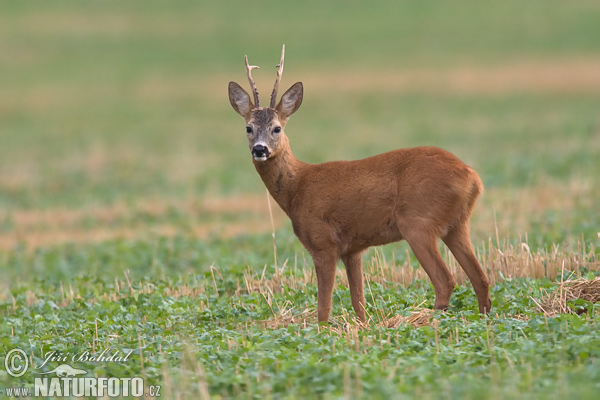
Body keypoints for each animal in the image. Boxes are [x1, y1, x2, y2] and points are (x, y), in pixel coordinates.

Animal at [227, 46, 490, 322]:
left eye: (277, 128)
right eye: (248, 128)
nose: (260, 149)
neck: (297, 188)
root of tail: (473, 177)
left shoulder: (323, 241)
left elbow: (324, 307)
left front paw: (323, 329)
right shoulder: (352, 249)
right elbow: (358, 302)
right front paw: (363, 326)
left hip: (418, 222)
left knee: (445, 280)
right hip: (456, 225)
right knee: (480, 278)